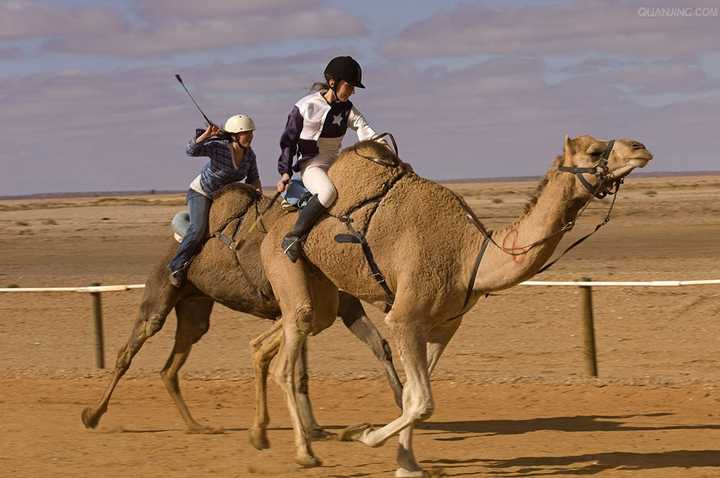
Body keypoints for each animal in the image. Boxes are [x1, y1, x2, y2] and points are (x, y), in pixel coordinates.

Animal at [82, 182, 404, 440]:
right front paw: (312, 430)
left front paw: (401, 402)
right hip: (161, 291)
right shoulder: (299, 306)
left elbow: (379, 345)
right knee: (131, 347)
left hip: (195, 307)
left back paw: (198, 426)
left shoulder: (344, 304)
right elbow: (299, 369)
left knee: (170, 367)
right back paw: (92, 415)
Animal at [258, 134, 652, 474]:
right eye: (593, 151)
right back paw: (305, 453)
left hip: (325, 290)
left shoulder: (444, 325)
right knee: (287, 358)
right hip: (286, 266)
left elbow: (414, 399)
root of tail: (273, 228)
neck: (469, 256)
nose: (640, 147)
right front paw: (363, 434)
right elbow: (422, 401)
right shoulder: (404, 319)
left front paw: (406, 463)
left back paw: (261, 434)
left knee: (288, 333)